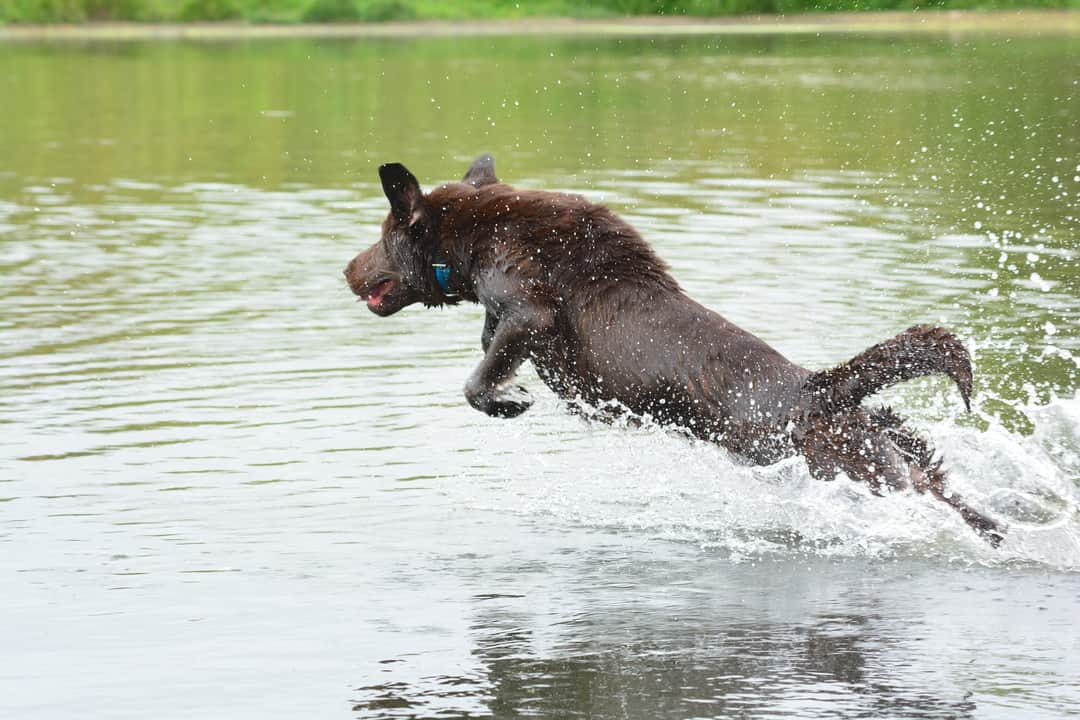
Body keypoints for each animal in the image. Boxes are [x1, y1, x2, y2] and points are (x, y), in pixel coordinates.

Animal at [347, 153, 1002, 546]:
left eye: (382, 236)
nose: (346, 270)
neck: (473, 237)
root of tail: (821, 388)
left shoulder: (529, 308)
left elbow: (480, 375)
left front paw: (508, 400)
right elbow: (487, 343)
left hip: (855, 467)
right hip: (902, 450)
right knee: (963, 500)